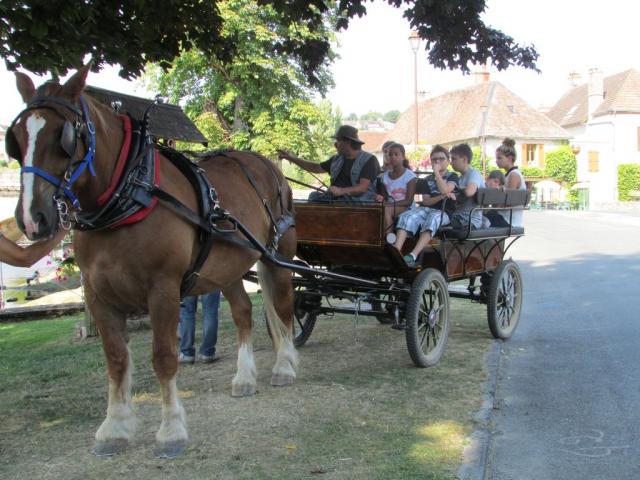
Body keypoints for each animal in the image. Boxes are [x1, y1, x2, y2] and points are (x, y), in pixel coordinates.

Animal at [7, 66, 298, 458]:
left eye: (63, 135)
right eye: (16, 138)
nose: (32, 218)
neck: (129, 195)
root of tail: (264, 164)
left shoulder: (163, 289)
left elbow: (163, 357)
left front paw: (171, 430)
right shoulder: (97, 295)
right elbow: (116, 359)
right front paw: (114, 429)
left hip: (277, 258)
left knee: (283, 308)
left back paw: (284, 366)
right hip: (226, 268)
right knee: (243, 313)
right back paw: (244, 377)